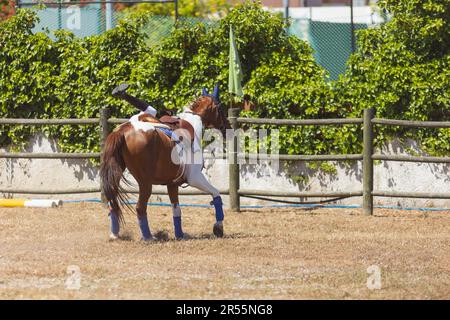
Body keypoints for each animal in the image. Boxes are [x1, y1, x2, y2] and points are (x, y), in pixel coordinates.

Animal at [100, 86, 230, 241]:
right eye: (220, 107)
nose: (227, 126)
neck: (193, 123)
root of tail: (123, 131)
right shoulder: (195, 177)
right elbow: (216, 194)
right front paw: (218, 227)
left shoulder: (172, 184)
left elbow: (176, 209)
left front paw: (180, 235)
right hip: (145, 183)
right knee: (140, 207)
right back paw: (148, 237)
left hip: (117, 173)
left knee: (113, 203)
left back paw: (115, 234)